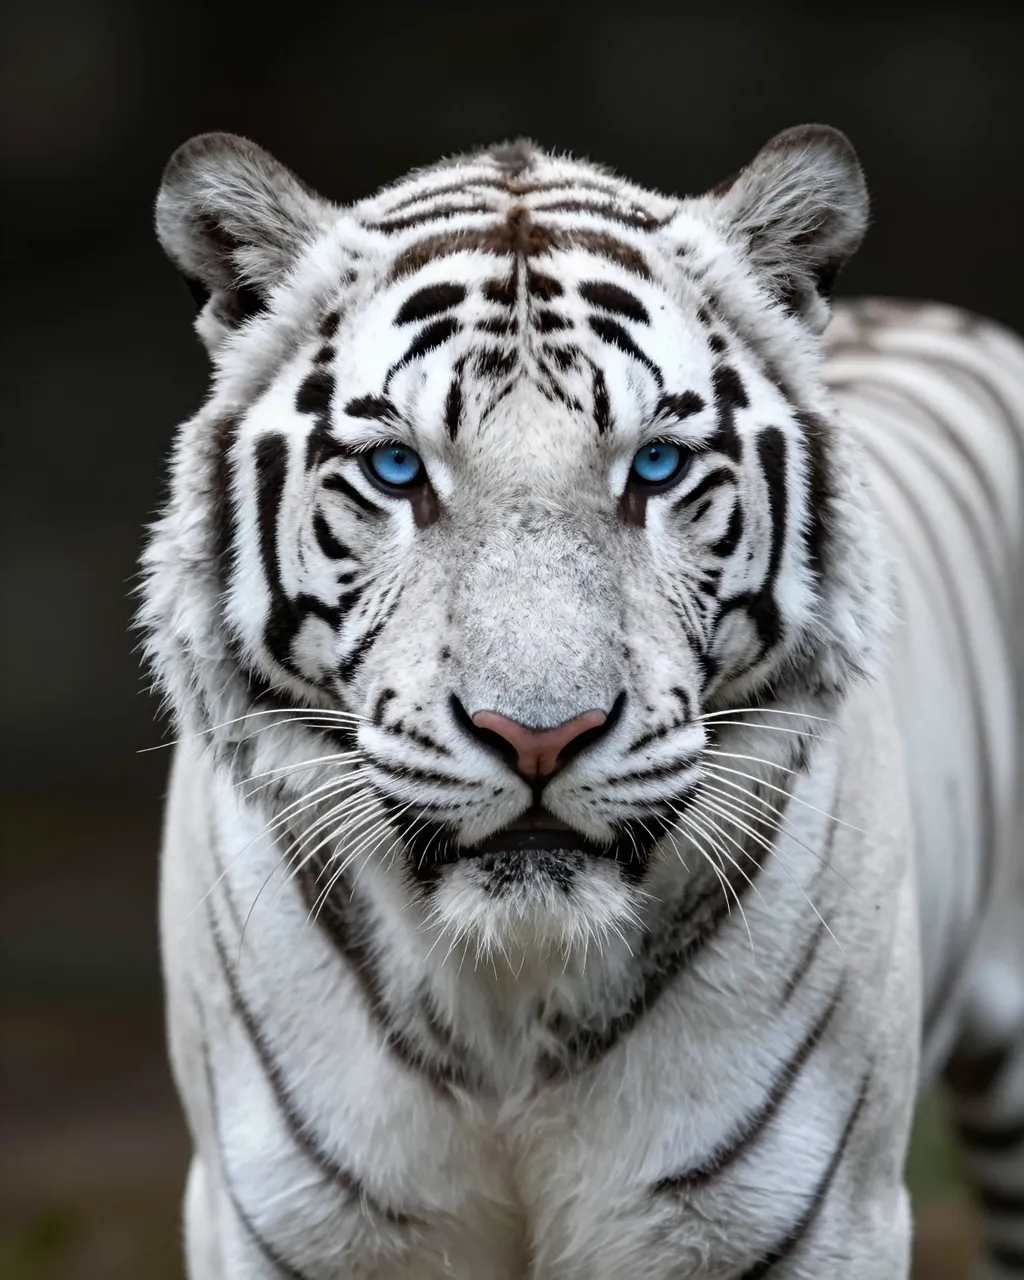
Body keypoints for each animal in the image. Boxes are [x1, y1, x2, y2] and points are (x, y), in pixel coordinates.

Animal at [139, 124, 1024, 1278]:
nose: (538, 737)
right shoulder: (285, 1223)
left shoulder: (809, 1218)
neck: (505, 1001)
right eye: (396, 468)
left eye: (656, 465)